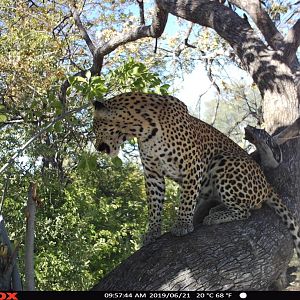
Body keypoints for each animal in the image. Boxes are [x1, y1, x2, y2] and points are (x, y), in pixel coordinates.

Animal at [92, 91, 300, 255]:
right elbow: (154, 204)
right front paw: (152, 232)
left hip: (224, 161)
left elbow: (186, 198)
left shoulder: (192, 164)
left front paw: (182, 224)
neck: (141, 130)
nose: (95, 146)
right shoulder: (152, 173)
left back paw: (215, 216)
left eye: (95, 128)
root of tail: (267, 184)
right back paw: (217, 208)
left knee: (246, 211)